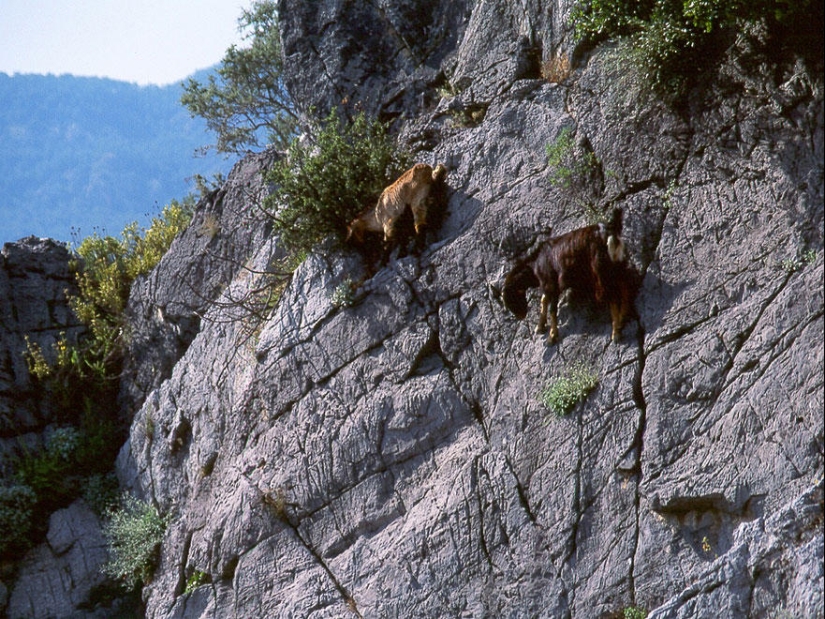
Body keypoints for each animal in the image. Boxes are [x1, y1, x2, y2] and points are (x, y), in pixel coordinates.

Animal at [498, 208, 636, 344]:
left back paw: (616, 334)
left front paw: (552, 337)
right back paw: (623, 317)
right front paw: (540, 327)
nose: (520, 316)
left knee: (613, 296)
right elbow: (544, 300)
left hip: (601, 270)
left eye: (512, 298)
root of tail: (609, 231)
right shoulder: (548, 286)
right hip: (617, 264)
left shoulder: (552, 284)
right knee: (626, 286)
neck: (536, 263)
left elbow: (552, 308)